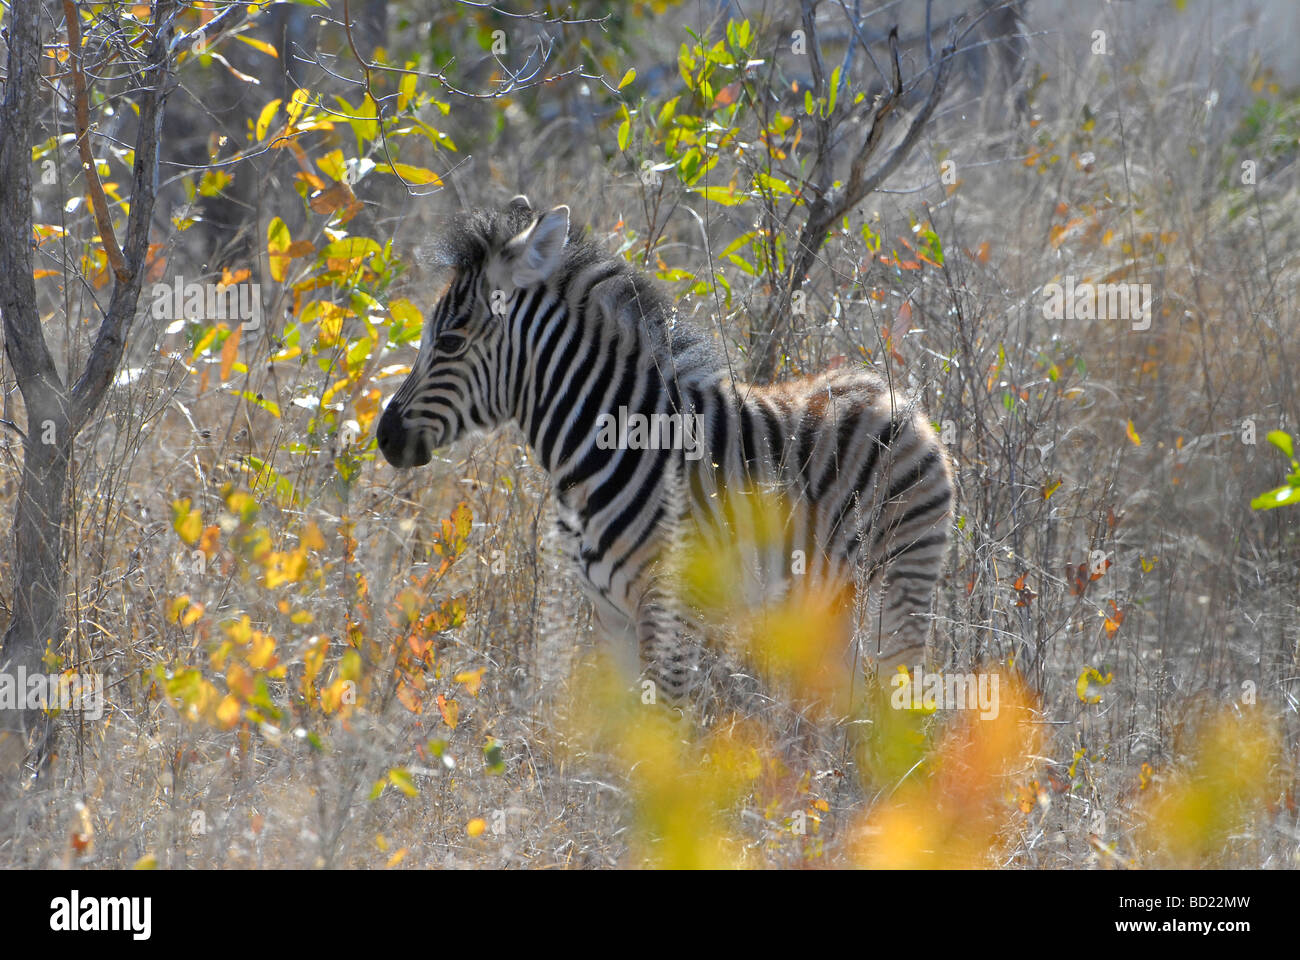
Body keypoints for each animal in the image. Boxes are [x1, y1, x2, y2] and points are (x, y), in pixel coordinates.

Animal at [376, 195, 954, 702]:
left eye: (450, 342)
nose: (384, 439)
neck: (608, 449)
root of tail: (896, 397)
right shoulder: (610, 614)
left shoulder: (670, 610)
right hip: (832, 600)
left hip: (900, 583)